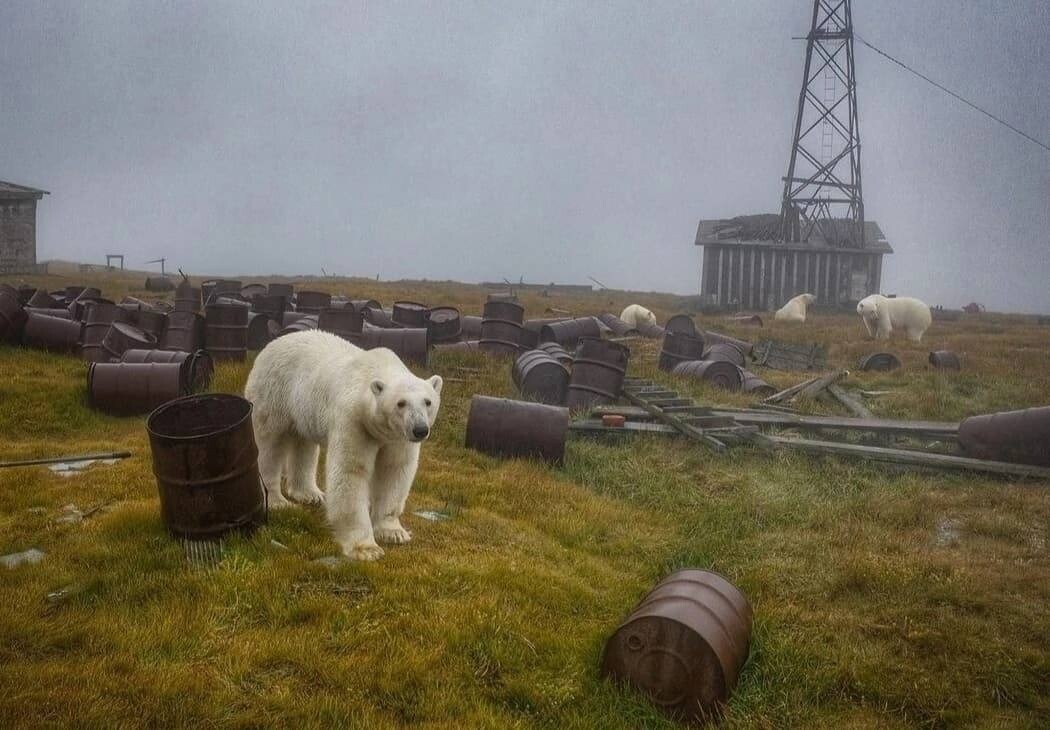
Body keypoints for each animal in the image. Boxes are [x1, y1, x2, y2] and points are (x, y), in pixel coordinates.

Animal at [244, 330, 442, 561]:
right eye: (401, 403)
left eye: (428, 402)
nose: (420, 430)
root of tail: (272, 344)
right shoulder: (354, 421)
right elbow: (351, 472)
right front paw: (366, 549)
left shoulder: (397, 438)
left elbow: (394, 471)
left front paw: (393, 533)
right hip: (273, 393)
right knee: (269, 445)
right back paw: (277, 501)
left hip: (303, 408)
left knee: (304, 443)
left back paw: (310, 494)